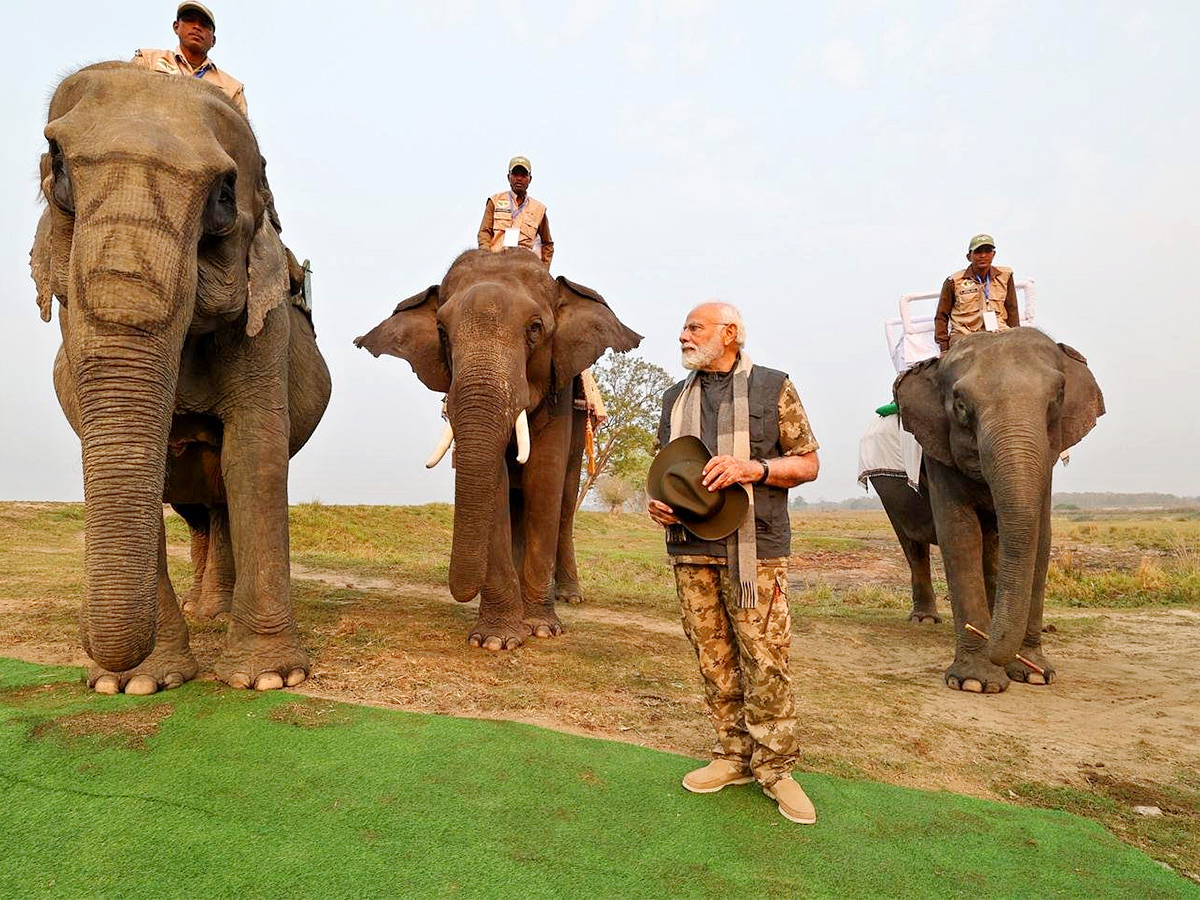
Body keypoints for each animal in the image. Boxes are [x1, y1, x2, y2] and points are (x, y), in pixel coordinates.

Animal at [31, 63, 331, 696]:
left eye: (223, 196)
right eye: (58, 169)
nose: (85, 633)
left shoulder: (264, 322)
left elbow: (254, 453)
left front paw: (268, 679)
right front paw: (132, 684)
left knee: (220, 498)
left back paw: (218, 612)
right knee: (196, 508)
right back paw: (203, 611)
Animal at [352, 250, 643, 652]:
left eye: (535, 329)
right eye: (442, 332)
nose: (461, 590)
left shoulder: (559, 392)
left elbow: (543, 480)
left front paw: (541, 629)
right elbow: (497, 487)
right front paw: (495, 640)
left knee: (565, 503)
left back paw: (569, 596)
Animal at [892, 328, 1104, 696]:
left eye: (1057, 398)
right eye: (961, 406)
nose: (990, 642)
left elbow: (1040, 538)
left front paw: (1035, 674)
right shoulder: (938, 451)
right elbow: (960, 535)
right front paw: (975, 682)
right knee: (914, 546)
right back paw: (925, 620)